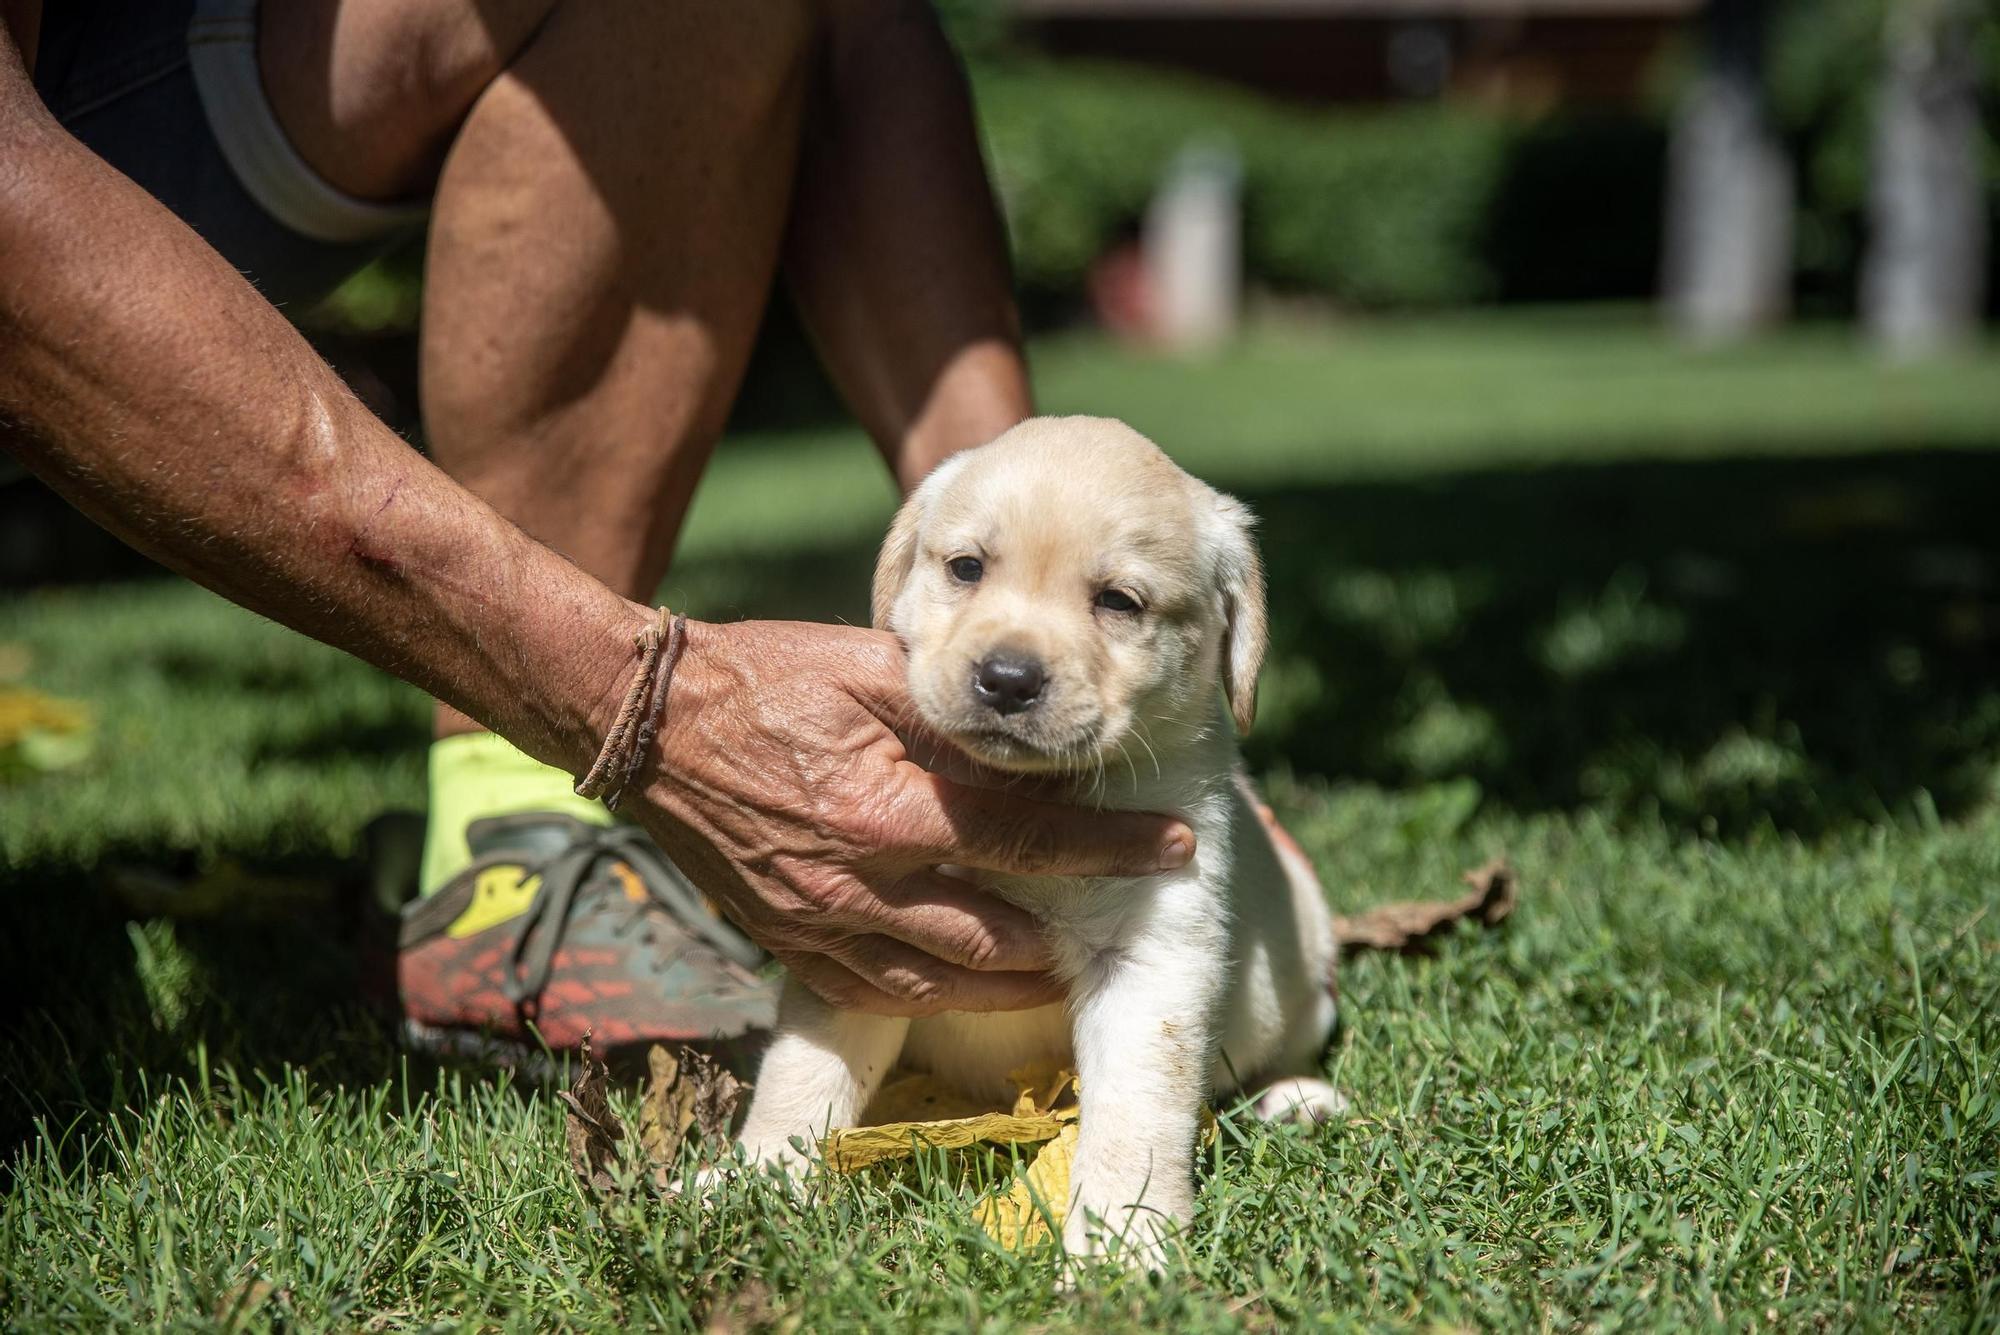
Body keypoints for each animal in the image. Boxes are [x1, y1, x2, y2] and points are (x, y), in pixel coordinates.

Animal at [736, 413, 1344, 1263]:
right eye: (966, 567)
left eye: (1119, 600)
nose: (1008, 678)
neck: (1022, 792)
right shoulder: (861, 929)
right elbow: (803, 1067)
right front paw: (755, 1181)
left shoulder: (1152, 951)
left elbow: (1136, 1113)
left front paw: (1122, 1240)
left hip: (1304, 971)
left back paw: (1297, 1096)